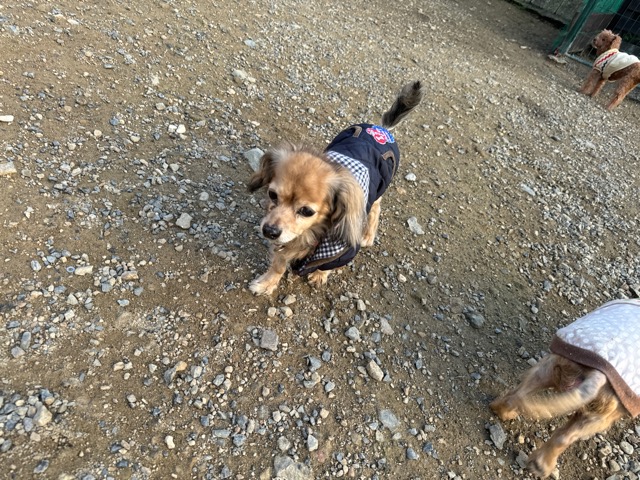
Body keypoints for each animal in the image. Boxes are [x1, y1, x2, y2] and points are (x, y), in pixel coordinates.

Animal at [247, 81, 423, 295]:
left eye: (307, 211)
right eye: (272, 194)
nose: (269, 231)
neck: (311, 233)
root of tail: (382, 128)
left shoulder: (341, 252)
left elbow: (326, 264)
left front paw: (319, 275)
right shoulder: (284, 243)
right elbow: (279, 264)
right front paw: (267, 283)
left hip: (379, 190)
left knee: (375, 211)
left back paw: (367, 235)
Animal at [490, 299, 640, 478]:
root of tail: (599, 374)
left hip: (549, 368)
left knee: (516, 395)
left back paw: (503, 411)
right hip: (600, 418)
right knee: (565, 437)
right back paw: (542, 466)